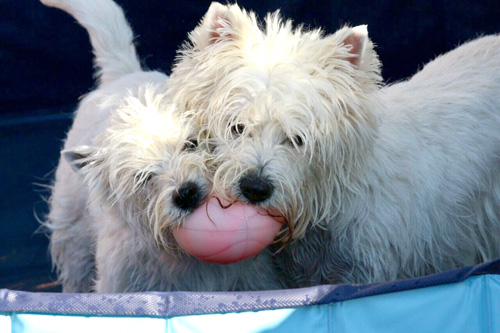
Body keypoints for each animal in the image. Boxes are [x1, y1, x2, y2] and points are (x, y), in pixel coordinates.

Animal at [41, 0, 284, 290]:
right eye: (142, 177)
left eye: (191, 143)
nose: (186, 193)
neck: (186, 258)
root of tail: (122, 74)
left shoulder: (255, 280)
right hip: (72, 232)